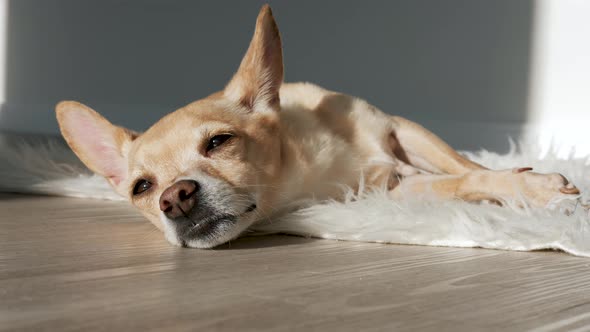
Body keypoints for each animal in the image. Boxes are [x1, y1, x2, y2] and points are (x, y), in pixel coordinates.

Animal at [55, 5, 584, 248]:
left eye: (220, 142)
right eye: (142, 188)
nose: (175, 198)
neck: (308, 168)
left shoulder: (402, 131)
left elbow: (468, 167)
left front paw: (529, 182)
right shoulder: (390, 189)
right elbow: (458, 182)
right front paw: (527, 191)